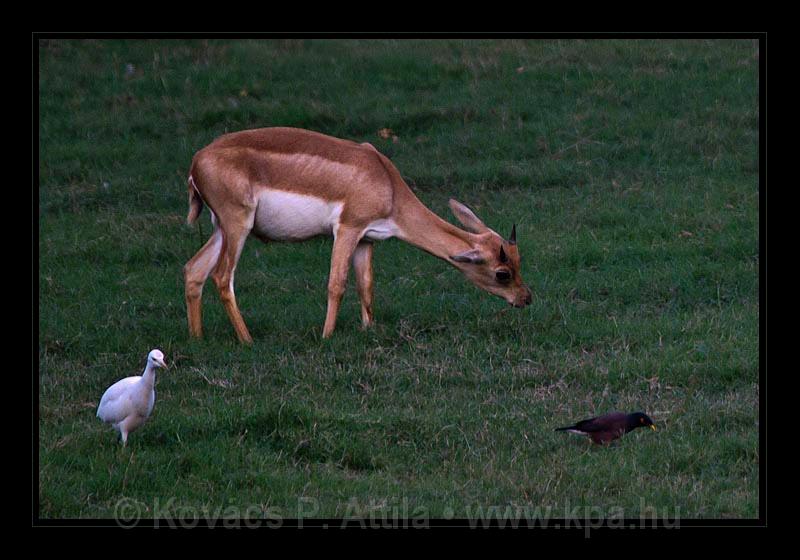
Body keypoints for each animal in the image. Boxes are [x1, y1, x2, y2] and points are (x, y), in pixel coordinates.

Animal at [182, 126, 532, 342]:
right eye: (502, 272)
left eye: (518, 263)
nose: (526, 298)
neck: (386, 182)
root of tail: (197, 160)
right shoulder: (347, 229)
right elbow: (336, 284)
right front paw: (326, 337)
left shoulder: (366, 239)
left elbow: (366, 284)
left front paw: (368, 329)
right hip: (237, 226)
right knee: (222, 276)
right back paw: (248, 340)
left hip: (220, 228)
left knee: (194, 269)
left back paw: (198, 338)